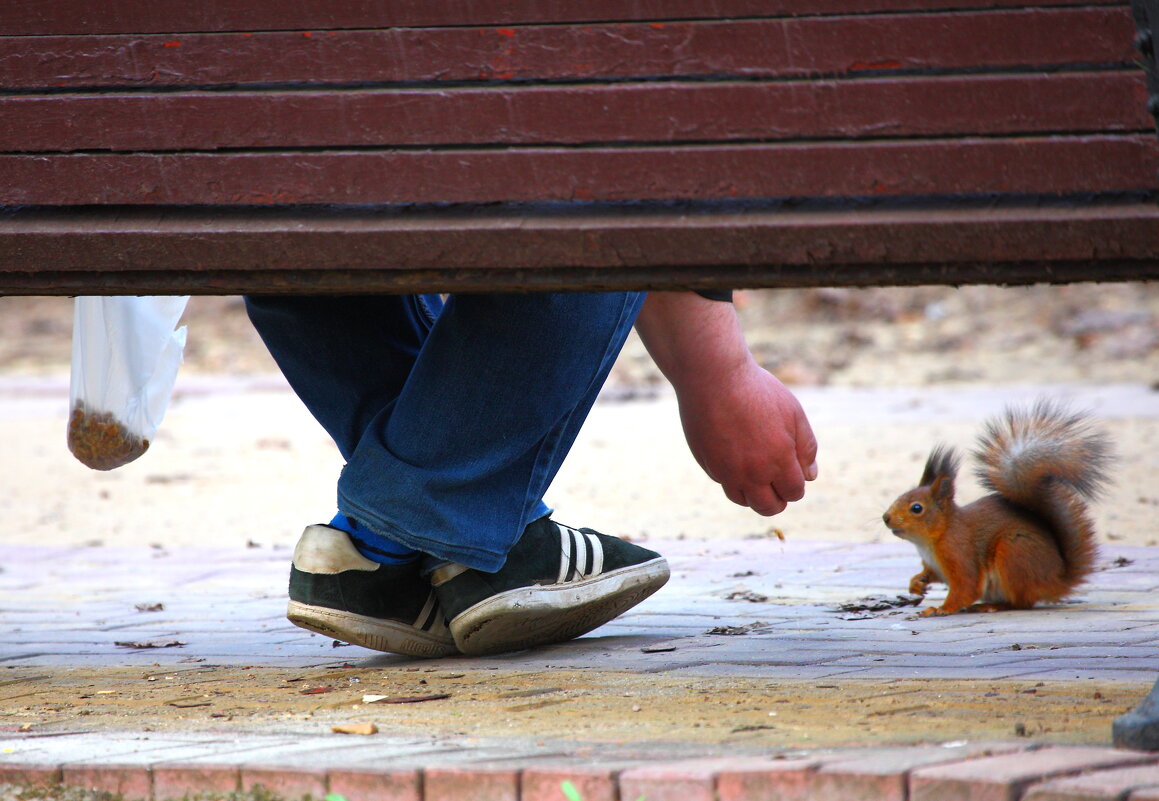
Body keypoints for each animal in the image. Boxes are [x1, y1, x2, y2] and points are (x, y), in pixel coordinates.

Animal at [885, 403, 1112, 616]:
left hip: (1013, 553)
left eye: (916, 508)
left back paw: (992, 605)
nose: (886, 518)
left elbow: (966, 586)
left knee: (1021, 603)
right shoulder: (934, 565)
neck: (932, 539)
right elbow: (931, 575)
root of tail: (1055, 581)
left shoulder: (959, 551)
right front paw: (916, 583)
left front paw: (940, 609)